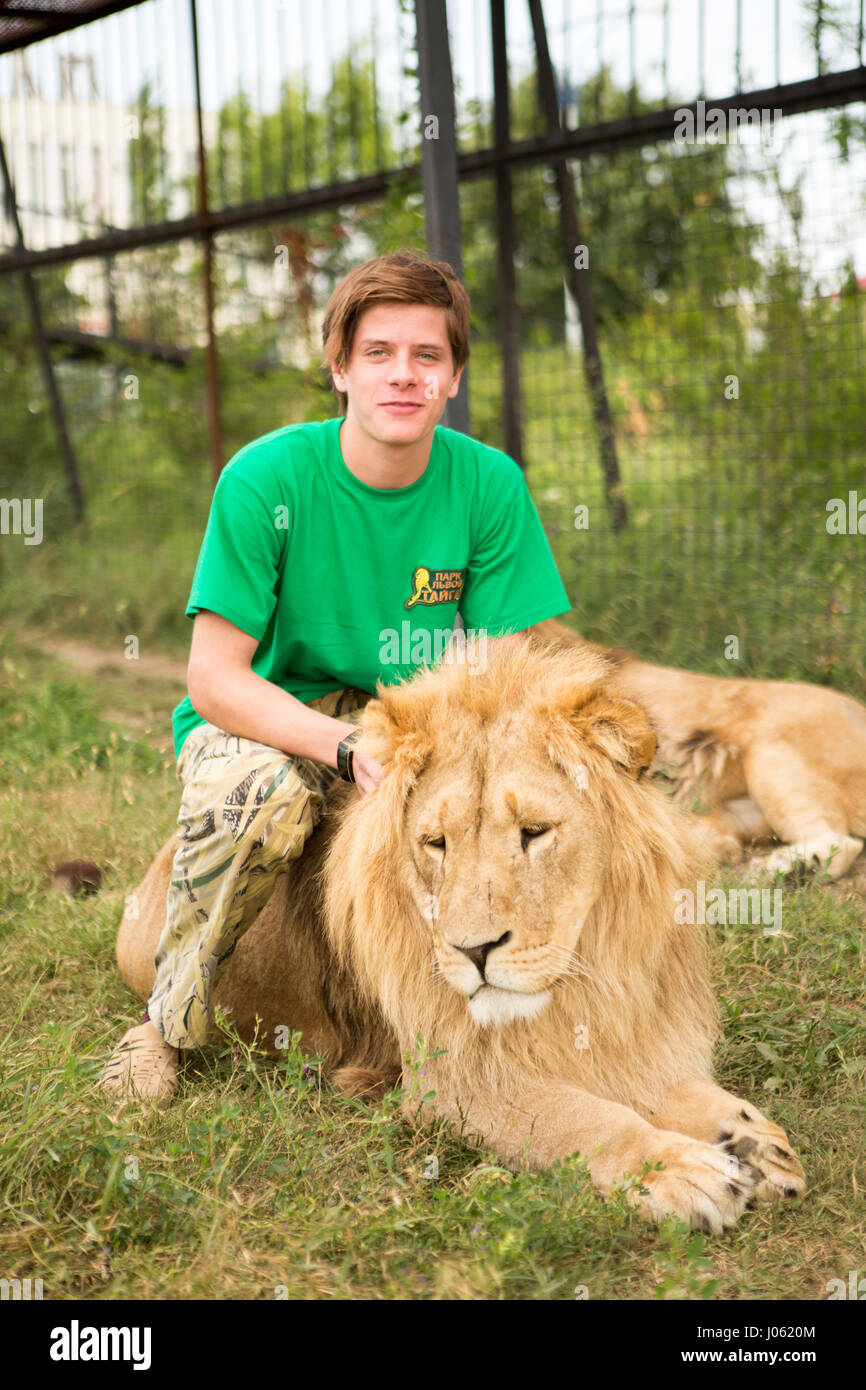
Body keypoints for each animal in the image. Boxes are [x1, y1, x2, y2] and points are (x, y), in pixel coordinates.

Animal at [116, 636, 806, 1234]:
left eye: (535, 832)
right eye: (436, 843)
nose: (474, 951)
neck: (584, 971)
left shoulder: (623, 1029)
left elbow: (674, 1089)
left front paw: (750, 1141)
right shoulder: (453, 1081)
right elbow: (584, 1120)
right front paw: (680, 1170)